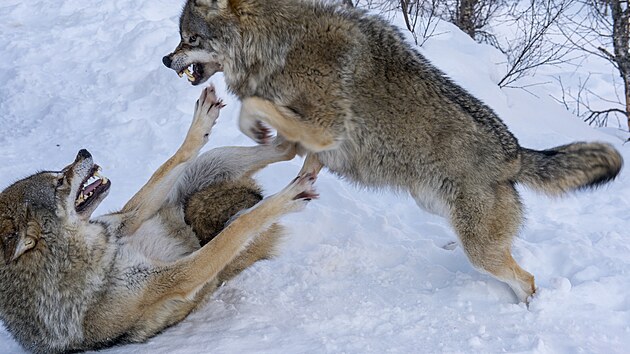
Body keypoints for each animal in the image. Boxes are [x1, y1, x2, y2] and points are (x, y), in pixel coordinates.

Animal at [0, 86, 316, 354]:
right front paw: (286, 199)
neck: (98, 259)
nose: (83, 151)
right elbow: (239, 228)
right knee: (241, 220)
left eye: (57, 174)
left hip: (210, 162)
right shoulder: (177, 278)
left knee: (282, 151)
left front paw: (200, 125)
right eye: (59, 182)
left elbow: (166, 165)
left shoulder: (125, 220)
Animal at [160, 0, 624, 304]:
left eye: (189, 38)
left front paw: (254, 125)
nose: (166, 59)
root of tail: (516, 154)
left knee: (526, 279)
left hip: (481, 249)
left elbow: (253, 108)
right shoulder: (308, 140)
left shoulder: (326, 129)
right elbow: (288, 149)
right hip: (443, 212)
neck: (279, 43)